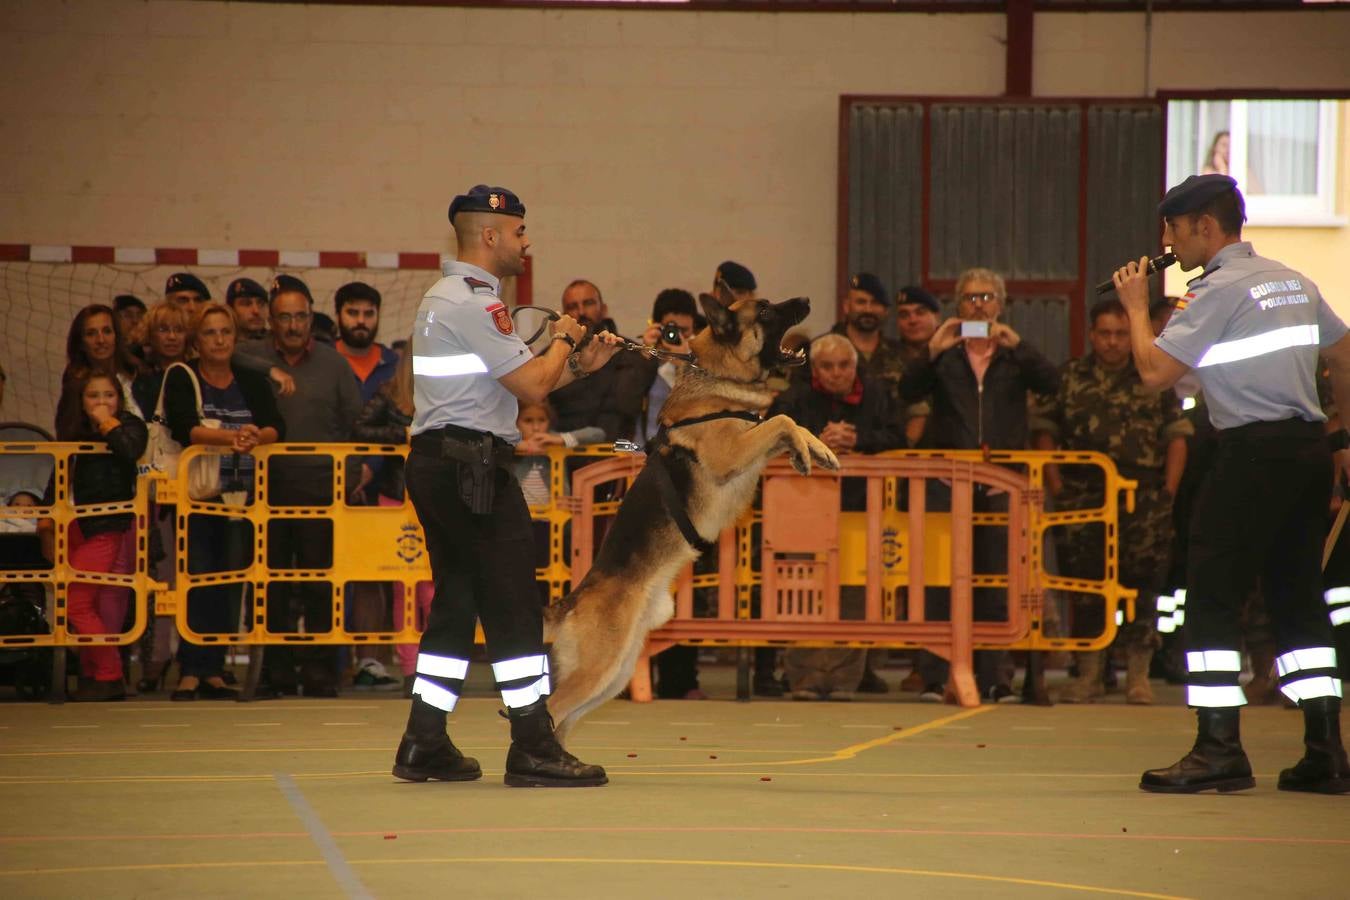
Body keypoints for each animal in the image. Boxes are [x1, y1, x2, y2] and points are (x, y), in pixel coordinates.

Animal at [542, 295, 837, 744]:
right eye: (766, 311)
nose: (804, 301)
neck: (717, 378)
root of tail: (572, 601)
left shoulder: (753, 445)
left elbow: (790, 425)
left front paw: (817, 450)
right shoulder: (732, 453)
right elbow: (783, 420)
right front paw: (806, 451)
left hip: (615, 673)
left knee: (562, 719)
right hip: (599, 668)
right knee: (549, 709)